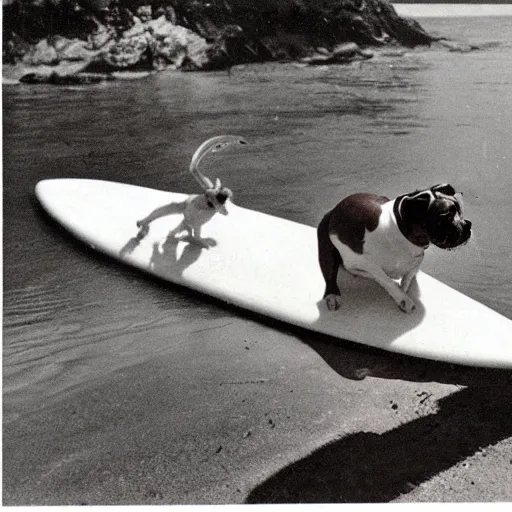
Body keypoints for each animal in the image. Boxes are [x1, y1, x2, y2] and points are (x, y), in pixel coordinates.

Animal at [316, 183, 472, 312]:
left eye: (460, 211)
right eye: (446, 216)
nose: (467, 224)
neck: (403, 235)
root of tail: (333, 210)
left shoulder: (417, 260)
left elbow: (407, 278)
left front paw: (403, 291)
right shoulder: (370, 263)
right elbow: (387, 281)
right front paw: (403, 299)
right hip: (327, 248)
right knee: (331, 274)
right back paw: (333, 296)